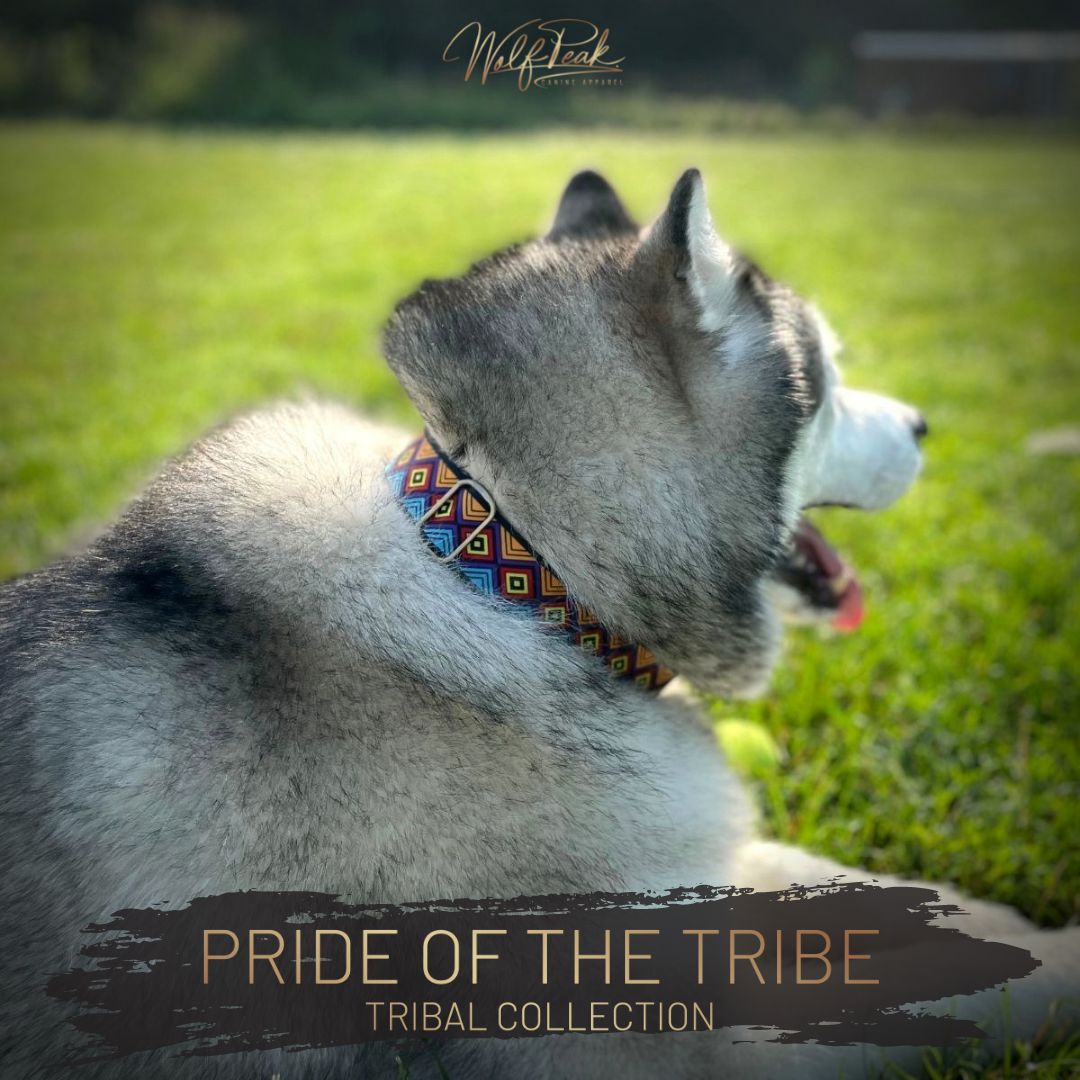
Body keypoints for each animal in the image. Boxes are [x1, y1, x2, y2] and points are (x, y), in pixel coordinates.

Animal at [0, 168, 1074, 1079]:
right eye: (832, 385)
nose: (926, 427)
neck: (520, 571)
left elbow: (868, 892)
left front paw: (1013, 920)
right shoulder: (671, 1038)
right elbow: (928, 997)